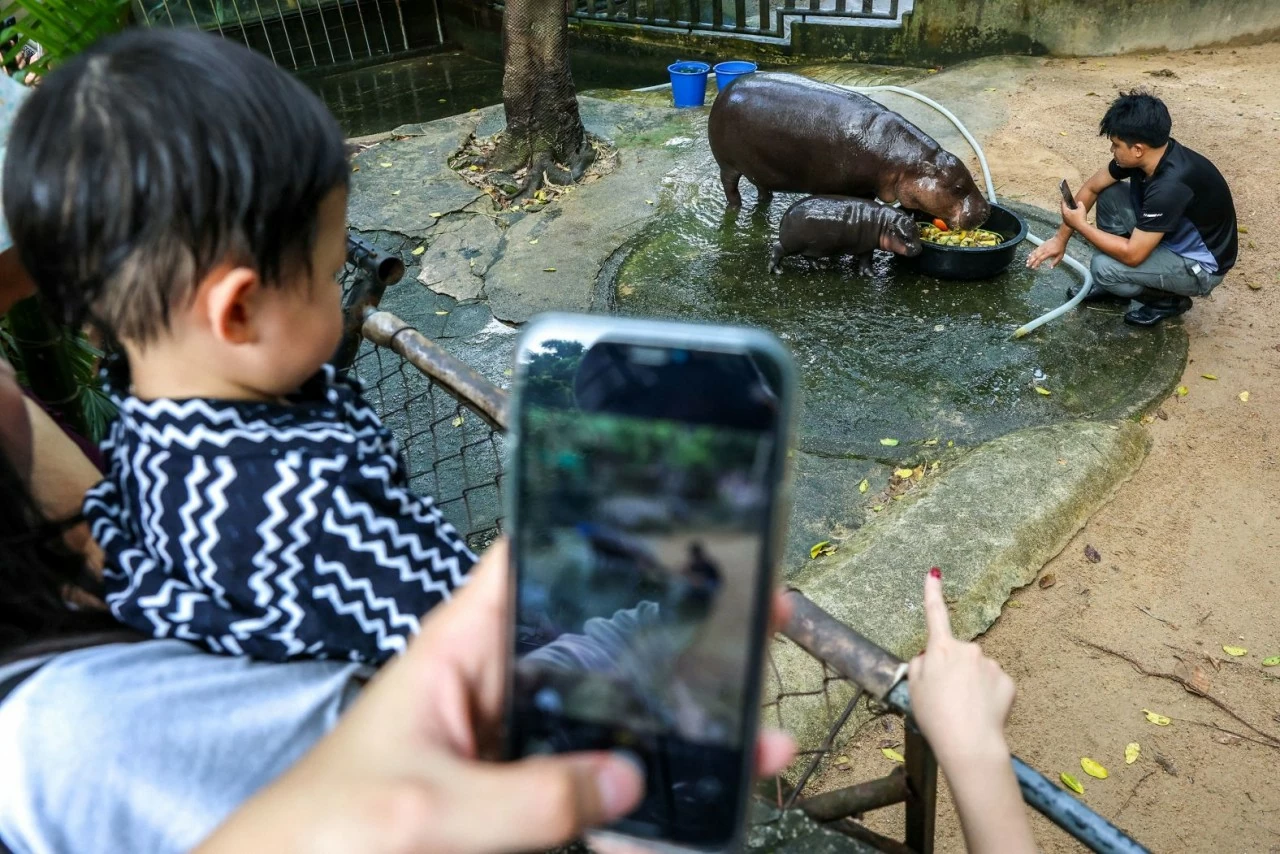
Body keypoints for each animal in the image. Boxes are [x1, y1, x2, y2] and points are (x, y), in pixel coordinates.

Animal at [711, 72, 988, 230]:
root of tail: (724, 91)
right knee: (730, 188)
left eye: (970, 177)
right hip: (727, 164)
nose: (986, 212)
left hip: (759, 166)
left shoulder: (866, 188)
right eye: (958, 187)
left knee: (761, 186)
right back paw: (734, 209)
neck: (905, 162)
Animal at [768, 195, 921, 275]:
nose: (918, 250)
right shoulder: (867, 247)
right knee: (777, 248)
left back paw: (820, 267)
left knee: (808, 256)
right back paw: (776, 270)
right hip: (791, 244)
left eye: (918, 232)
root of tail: (785, 216)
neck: (883, 222)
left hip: (811, 246)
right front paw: (869, 274)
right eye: (904, 237)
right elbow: (865, 260)